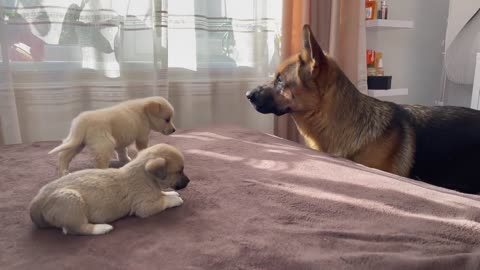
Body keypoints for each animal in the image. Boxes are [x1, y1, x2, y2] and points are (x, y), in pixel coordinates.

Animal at [29, 144, 190, 235]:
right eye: (179, 171)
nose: (189, 181)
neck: (147, 176)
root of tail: (36, 204)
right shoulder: (145, 207)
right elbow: (163, 201)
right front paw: (174, 198)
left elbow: (162, 194)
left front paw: (170, 192)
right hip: (71, 200)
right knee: (75, 229)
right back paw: (102, 228)